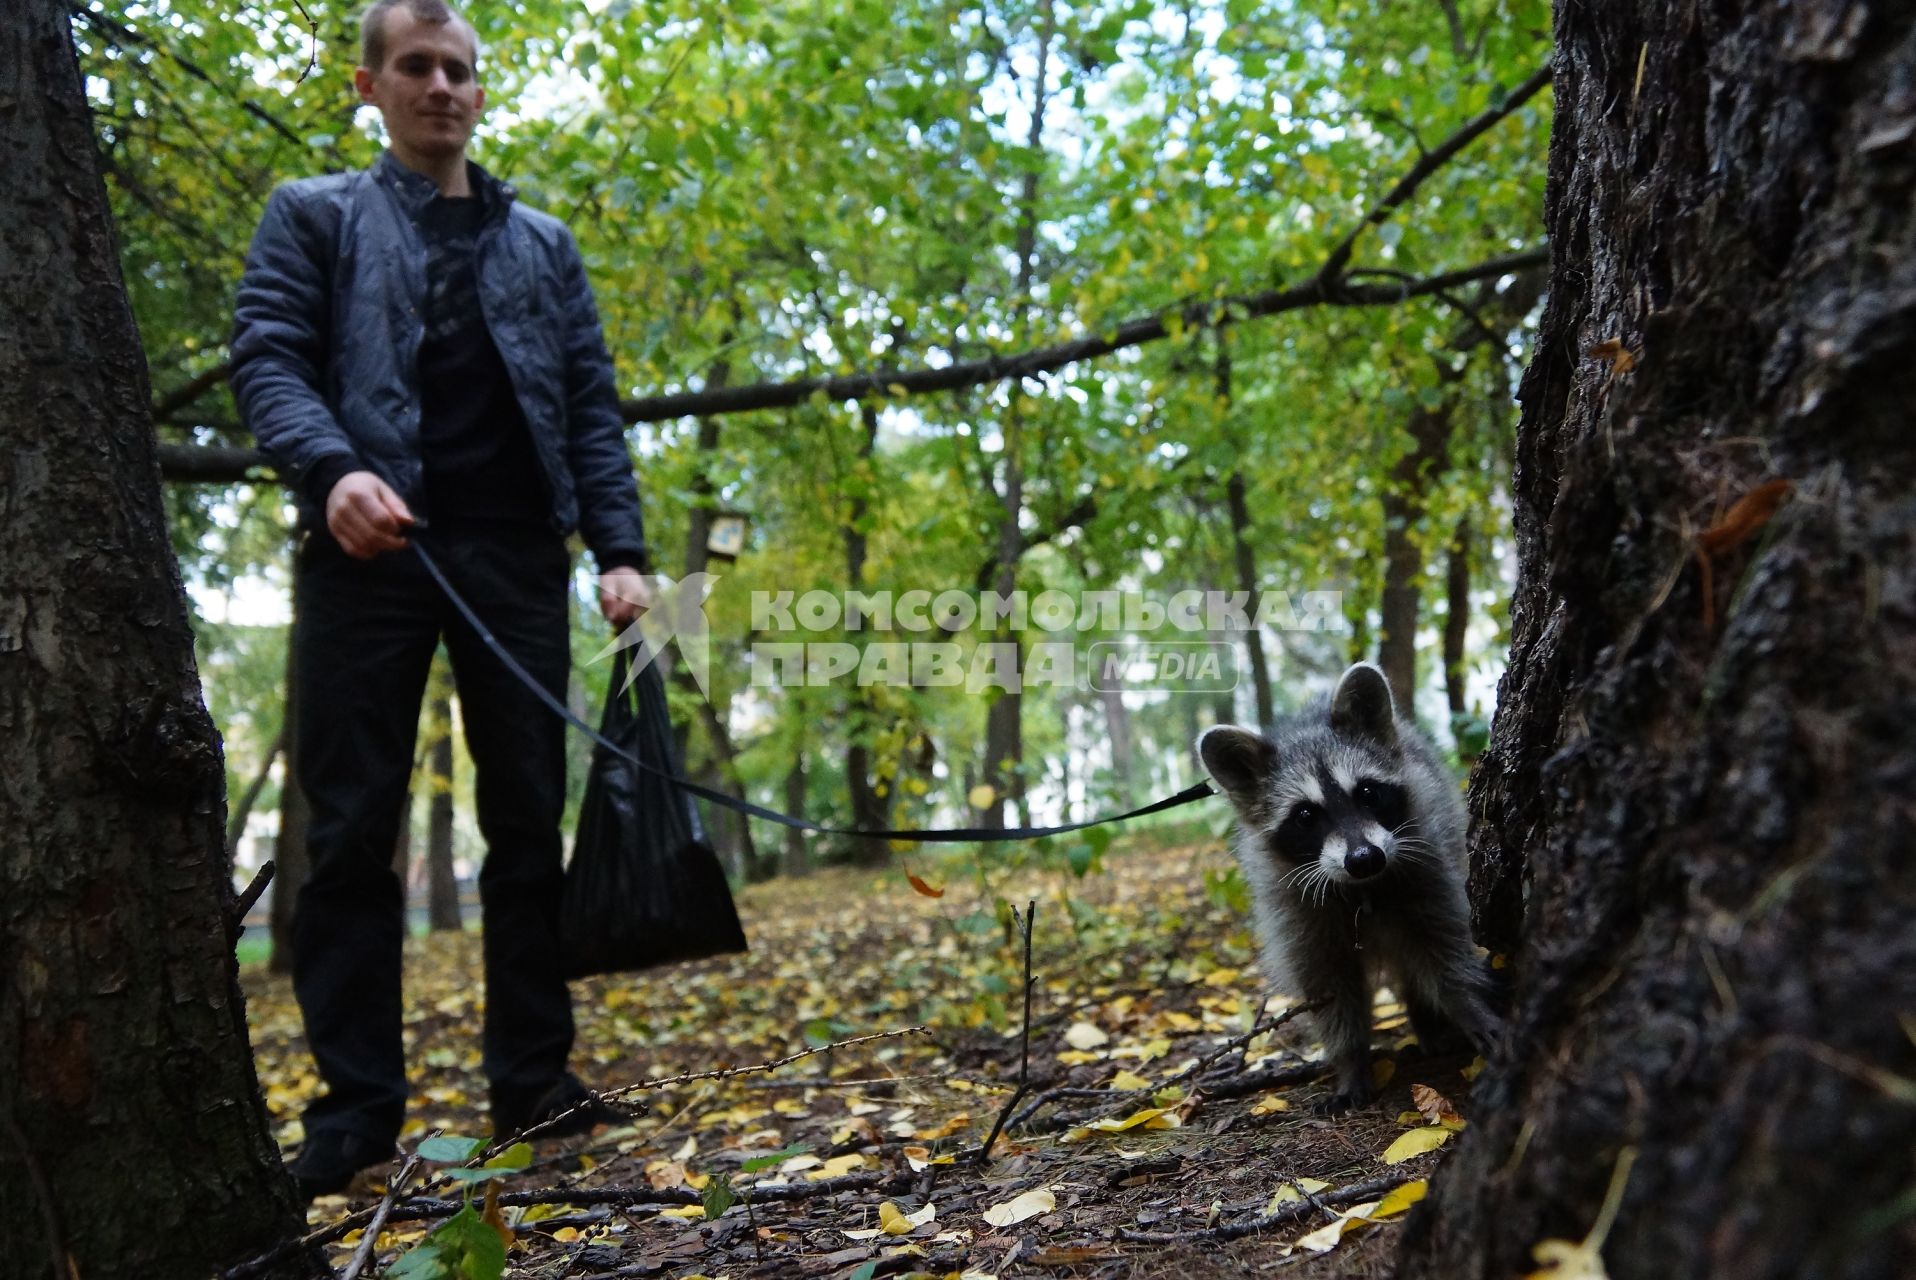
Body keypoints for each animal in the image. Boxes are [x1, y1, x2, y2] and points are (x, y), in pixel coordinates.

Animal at [1195, 659, 1494, 1111]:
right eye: (1305, 815)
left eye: (1368, 792)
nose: (1365, 858)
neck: (1362, 889)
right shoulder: (1297, 911)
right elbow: (1329, 989)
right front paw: (1351, 1061)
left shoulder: (1427, 864)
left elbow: (1445, 946)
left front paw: (1469, 1003)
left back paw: (1427, 1020)